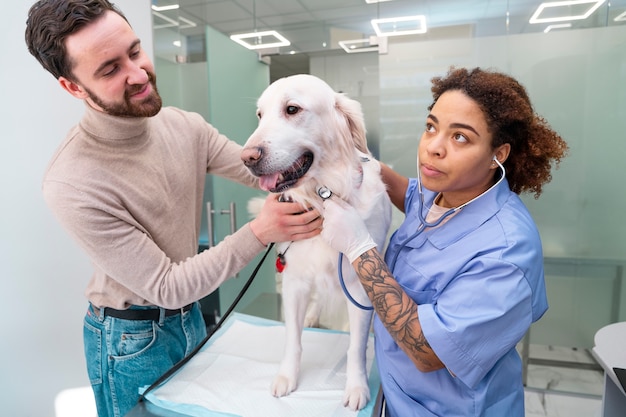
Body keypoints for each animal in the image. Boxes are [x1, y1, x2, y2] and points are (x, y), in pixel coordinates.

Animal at [240, 73, 390, 408]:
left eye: (292, 109)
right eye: (259, 115)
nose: (246, 158)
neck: (323, 200)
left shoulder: (359, 284)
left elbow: (355, 347)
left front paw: (357, 387)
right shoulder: (295, 280)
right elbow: (292, 340)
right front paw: (287, 376)